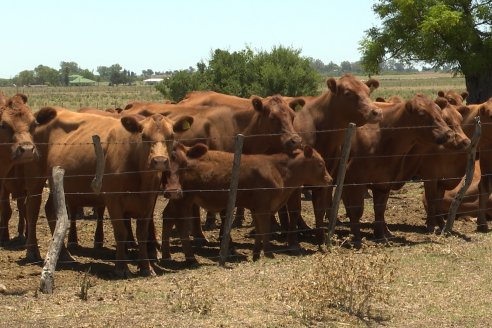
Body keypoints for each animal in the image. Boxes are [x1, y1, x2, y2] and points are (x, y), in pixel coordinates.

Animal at [23, 108, 192, 276]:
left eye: (171, 136)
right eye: (144, 136)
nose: (160, 161)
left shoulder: (148, 200)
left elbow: (142, 234)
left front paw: (146, 267)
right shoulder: (113, 200)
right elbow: (121, 232)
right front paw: (121, 267)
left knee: (51, 210)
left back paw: (64, 254)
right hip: (35, 178)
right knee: (32, 211)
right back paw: (32, 251)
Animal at [160, 142, 330, 262]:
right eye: (320, 164)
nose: (330, 179)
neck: (277, 171)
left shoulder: (256, 208)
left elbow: (260, 232)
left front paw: (256, 254)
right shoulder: (263, 207)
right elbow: (265, 231)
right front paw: (269, 254)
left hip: (177, 200)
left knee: (167, 217)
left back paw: (166, 255)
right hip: (183, 200)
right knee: (181, 225)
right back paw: (191, 258)